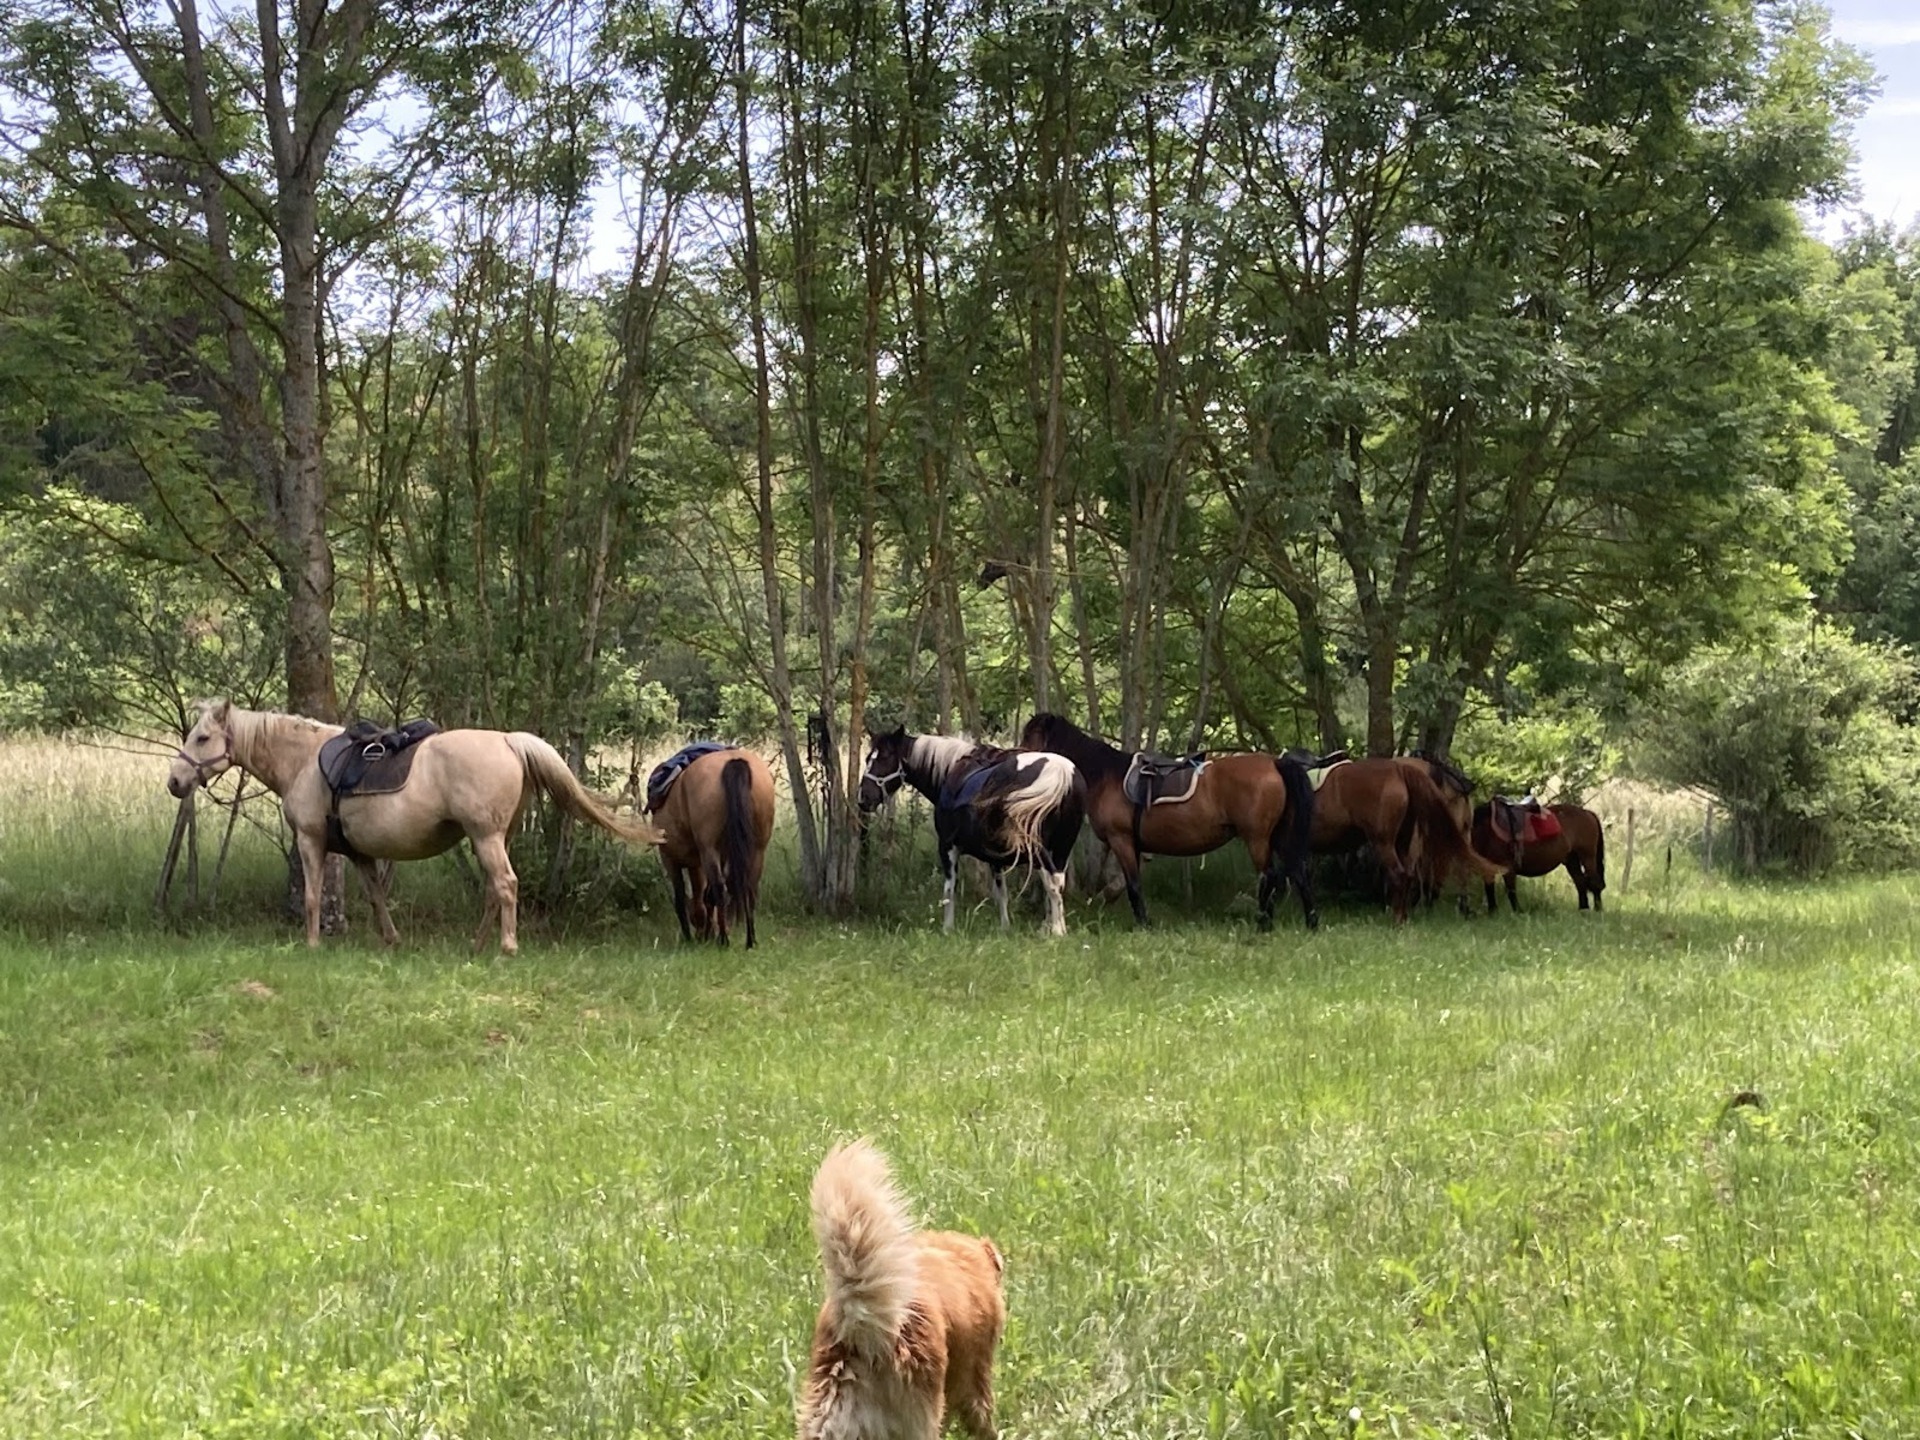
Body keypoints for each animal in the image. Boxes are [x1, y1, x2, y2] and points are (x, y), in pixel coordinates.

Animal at [165, 698, 660, 952]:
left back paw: (506, 946)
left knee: (505, 885)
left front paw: (311, 945)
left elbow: (311, 896)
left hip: (485, 838)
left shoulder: (310, 841)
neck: (303, 760)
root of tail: (507, 740)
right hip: (493, 838)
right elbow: (376, 895)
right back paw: (477, 944)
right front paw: (391, 939)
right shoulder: (360, 853)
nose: (175, 782)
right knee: (493, 890)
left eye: (203, 737)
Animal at [647, 747, 776, 947]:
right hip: (758, 849)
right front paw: (709, 932)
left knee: (720, 890)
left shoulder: (671, 859)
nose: (700, 935)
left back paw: (724, 940)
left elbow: (681, 898)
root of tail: (734, 761)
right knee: (749, 889)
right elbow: (707, 896)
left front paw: (691, 936)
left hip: (710, 850)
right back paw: (750, 940)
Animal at [858, 726, 1084, 936]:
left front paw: (948, 929)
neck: (951, 770)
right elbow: (1001, 892)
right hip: (1062, 847)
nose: (863, 799)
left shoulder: (947, 846)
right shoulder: (996, 856)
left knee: (1052, 882)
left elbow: (949, 889)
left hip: (1038, 849)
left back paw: (1056, 931)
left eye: (884, 758)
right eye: (868, 758)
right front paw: (1005, 928)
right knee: (1058, 880)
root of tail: (1061, 772)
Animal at [1017, 713, 1316, 930]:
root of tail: (1275, 763)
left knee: (1270, 876)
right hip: (1278, 836)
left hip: (1257, 838)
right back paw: (1309, 923)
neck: (1106, 776)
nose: (1019, 759)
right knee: (1297, 872)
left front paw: (1144, 926)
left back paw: (1264, 925)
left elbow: (1133, 885)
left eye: (1031, 735)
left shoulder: (1121, 840)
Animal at [1472, 801, 1607, 913]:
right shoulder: (1487, 868)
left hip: (1587, 857)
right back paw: (1583, 909)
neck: (1487, 830)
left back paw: (1598, 909)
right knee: (1580, 882)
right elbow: (1489, 889)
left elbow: (1511, 891)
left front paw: (1518, 912)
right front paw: (1493, 912)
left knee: (1594, 882)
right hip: (1571, 859)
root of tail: (1587, 813)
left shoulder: (1508, 867)